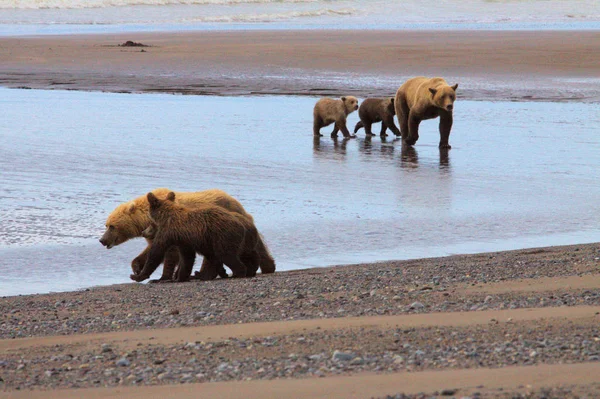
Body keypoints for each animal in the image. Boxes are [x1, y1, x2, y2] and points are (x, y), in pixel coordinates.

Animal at [99, 189, 276, 282]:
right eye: (106, 224)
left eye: (112, 226)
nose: (102, 240)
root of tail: (234, 200)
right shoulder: (155, 233)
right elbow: (151, 249)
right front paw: (136, 267)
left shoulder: (170, 230)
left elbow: (168, 253)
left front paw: (164, 276)